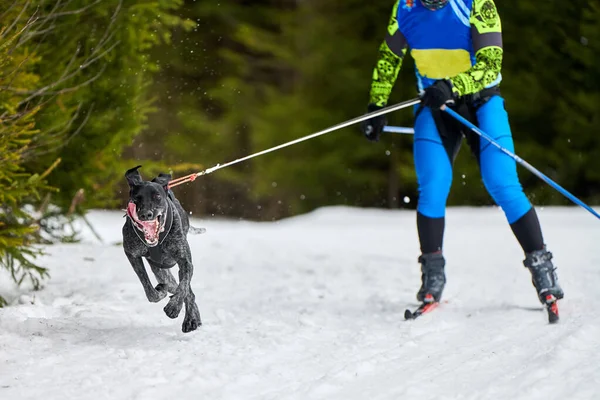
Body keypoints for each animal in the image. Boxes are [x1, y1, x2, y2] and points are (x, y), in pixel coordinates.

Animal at [123, 164, 203, 332]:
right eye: (136, 198)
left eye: (157, 197)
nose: (145, 214)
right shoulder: (132, 254)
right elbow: (149, 290)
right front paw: (160, 292)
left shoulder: (185, 262)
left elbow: (183, 287)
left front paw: (174, 307)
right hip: (162, 273)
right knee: (179, 288)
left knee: (187, 292)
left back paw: (191, 319)